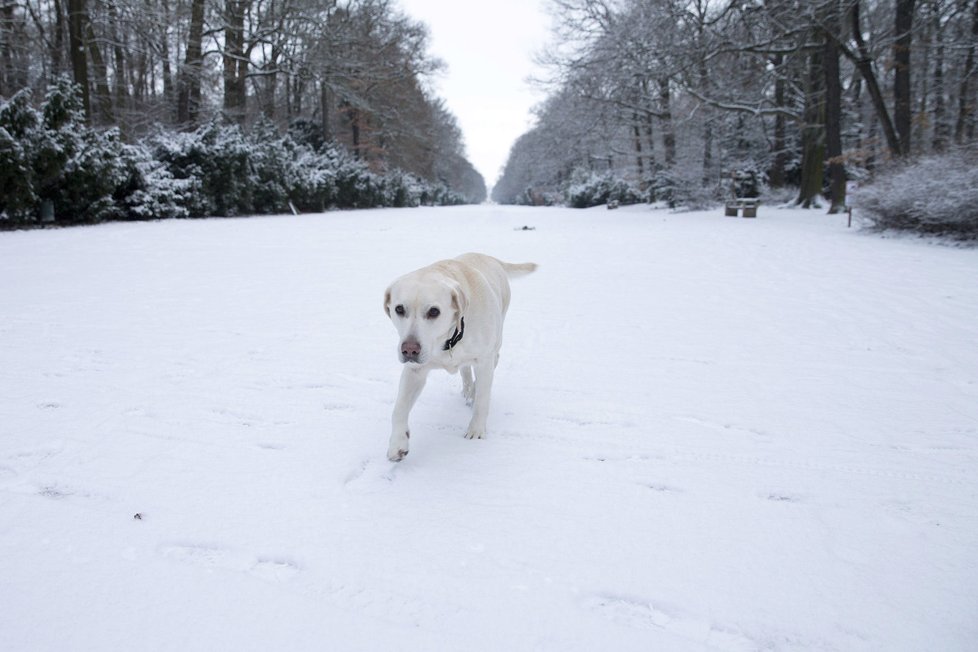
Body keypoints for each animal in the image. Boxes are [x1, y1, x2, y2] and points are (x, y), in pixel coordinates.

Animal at [382, 252, 532, 460]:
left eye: (434, 311)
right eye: (399, 309)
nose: (409, 349)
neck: (448, 340)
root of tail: (489, 257)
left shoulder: (485, 360)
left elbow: (483, 399)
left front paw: (476, 430)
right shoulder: (414, 371)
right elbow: (398, 409)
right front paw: (397, 444)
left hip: (495, 346)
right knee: (465, 371)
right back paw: (468, 390)